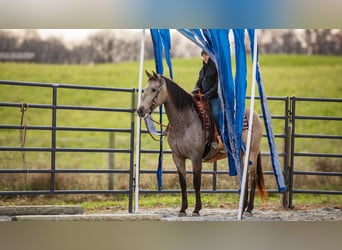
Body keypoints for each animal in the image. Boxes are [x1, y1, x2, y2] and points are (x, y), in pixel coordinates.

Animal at [137, 71, 268, 217]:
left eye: (154, 89)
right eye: (144, 89)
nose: (140, 110)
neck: (185, 121)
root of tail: (255, 115)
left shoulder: (196, 157)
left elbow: (196, 182)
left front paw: (196, 209)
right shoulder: (178, 157)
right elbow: (183, 183)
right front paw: (183, 209)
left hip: (252, 153)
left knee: (253, 178)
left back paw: (249, 209)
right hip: (239, 155)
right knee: (244, 177)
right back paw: (243, 207)